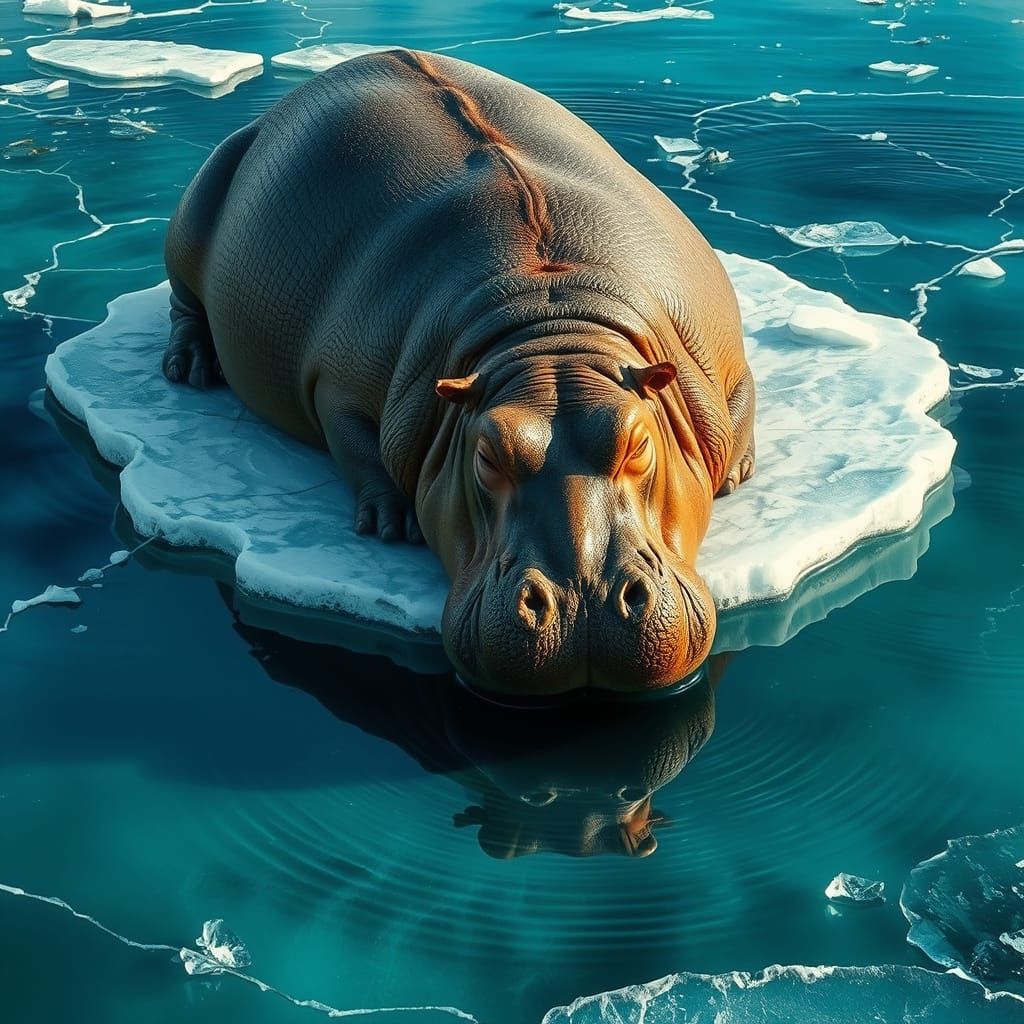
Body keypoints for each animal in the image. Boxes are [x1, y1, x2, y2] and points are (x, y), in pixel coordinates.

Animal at [162, 49, 755, 696]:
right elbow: (353, 441)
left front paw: (733, 476)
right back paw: (189, 367)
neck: (550, 312)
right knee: (184, 304)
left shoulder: (720, 363)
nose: (584, 602)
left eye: (639, 443)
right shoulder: (336, 383)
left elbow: (740, 410)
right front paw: (391, 523)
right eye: (488, 455)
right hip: (192, 220)